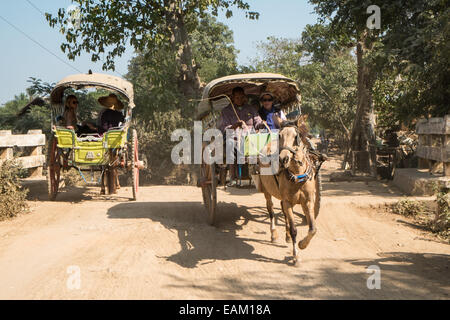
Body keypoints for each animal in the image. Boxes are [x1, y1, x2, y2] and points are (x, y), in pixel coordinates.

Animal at [256, 116, 324, 266]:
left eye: (296, 136)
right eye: (280, 135)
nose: (283, 159)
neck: (297, 176)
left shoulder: (308, 201)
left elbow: (313, 229)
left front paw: (302, 244)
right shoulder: (288, 201)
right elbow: (294, 229)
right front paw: (296, 256)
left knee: (283, 211)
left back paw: (286, 235)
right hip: (267, 191)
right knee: (271, 210)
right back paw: (274, 233)